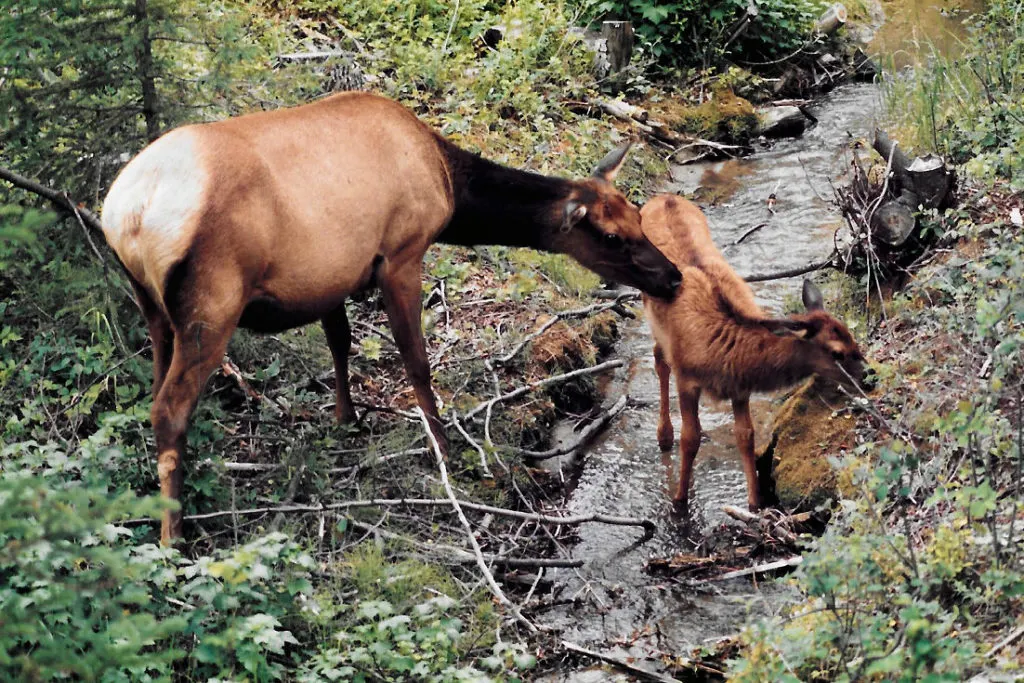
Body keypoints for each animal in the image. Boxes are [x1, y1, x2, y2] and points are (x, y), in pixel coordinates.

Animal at [101, 90, 679, 540]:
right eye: (611, 236)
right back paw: (173, 534)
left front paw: (346, 417)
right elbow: (416, 362)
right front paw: (444, 448)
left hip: (152, 306)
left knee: (154, 393)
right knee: (169, 408)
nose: (672, 277)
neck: (449, 184)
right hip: (213, 303)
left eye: (638, 216)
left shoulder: (332, 272)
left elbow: (341, 342)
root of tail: (126, 215)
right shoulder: (402, 252)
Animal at [638, 196, 872, 511]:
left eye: (851, 335)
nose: (870, 375)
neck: (725, 355)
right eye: (837, 352)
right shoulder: (686, 377)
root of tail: (663, 197)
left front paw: (753, 504)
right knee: (659, 359)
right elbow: (691, 438)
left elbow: (745, 436)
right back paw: (664, 436)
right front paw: (679, 500)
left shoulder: (739, 387)